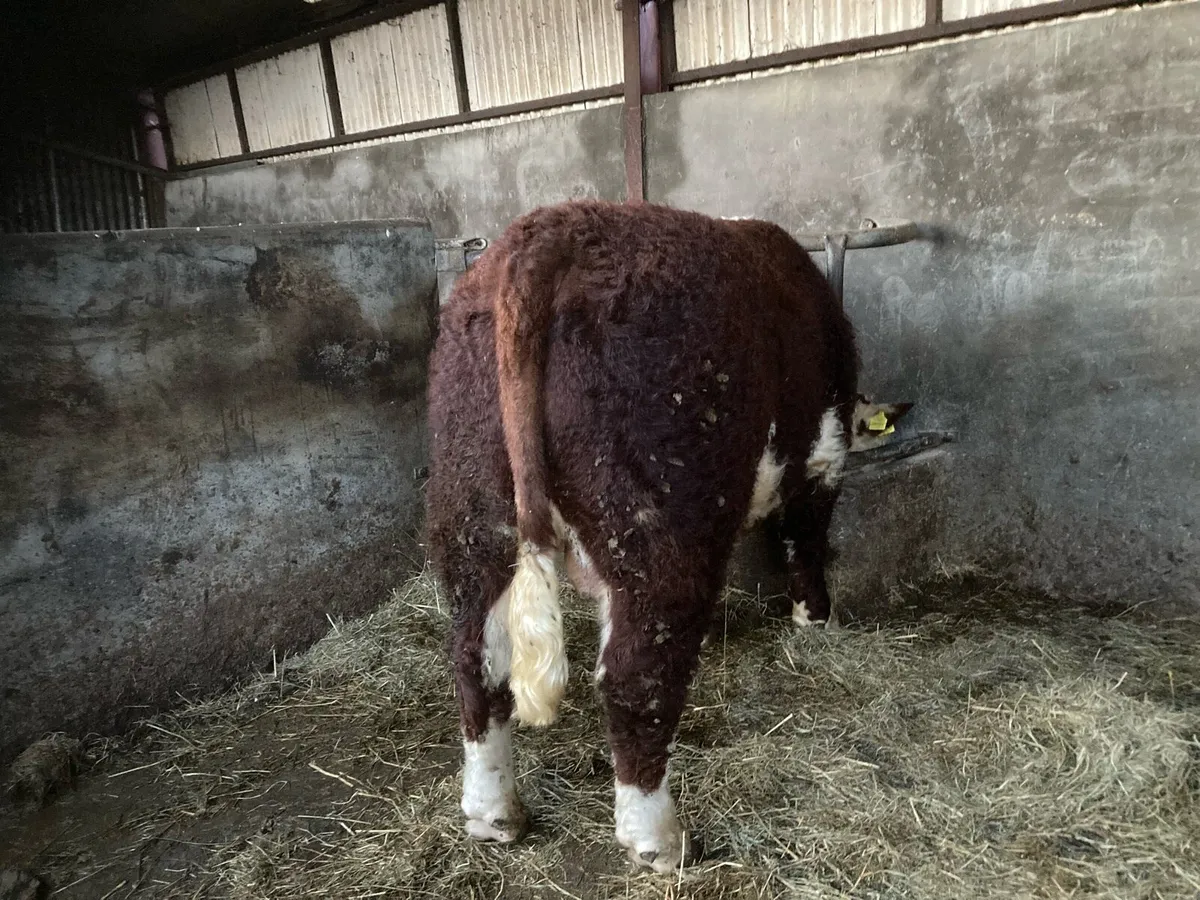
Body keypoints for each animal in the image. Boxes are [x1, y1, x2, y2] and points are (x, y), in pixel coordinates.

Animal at [424, 200, 912, 873]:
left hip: (472, 513)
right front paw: (815, 619)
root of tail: (550, 234)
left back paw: (493, 812)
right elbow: (806, 541)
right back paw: (659, 840)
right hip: (659, 523)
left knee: (478, 659)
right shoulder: (822, 457)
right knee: (636, 677)